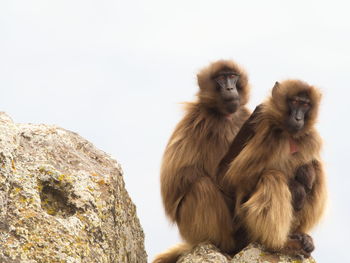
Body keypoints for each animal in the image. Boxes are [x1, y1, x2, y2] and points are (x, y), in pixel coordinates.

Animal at [154, 60, 252, 263]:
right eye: (221, 78)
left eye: (232, 76)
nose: (230, 88)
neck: (227, 117)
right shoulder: (210, 126)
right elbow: (219, 178)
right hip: (191, 227)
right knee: (201, 186)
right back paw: (226, 245)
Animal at [223, 80, 326, 258]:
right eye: (294, 102)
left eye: (305, 105)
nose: (298, 118)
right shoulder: (263, 129)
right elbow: (235, 180)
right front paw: (297, 188)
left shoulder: (310, 138)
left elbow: (310, 165)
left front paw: (306, 172)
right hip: (245, 222)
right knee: (272, 177)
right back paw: (279, 244)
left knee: (318, 171)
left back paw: (298, 235)